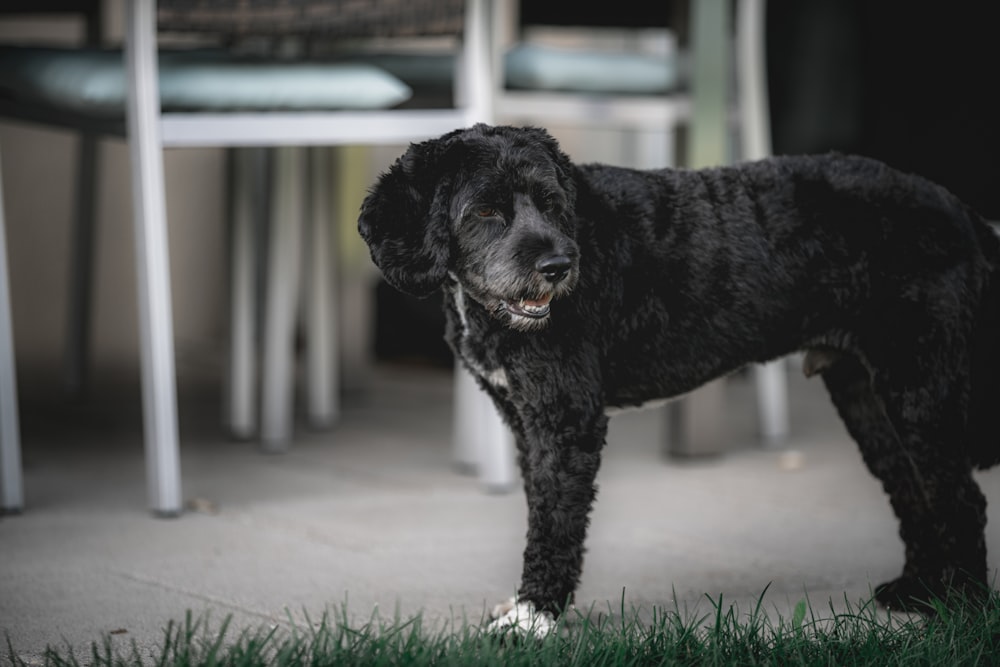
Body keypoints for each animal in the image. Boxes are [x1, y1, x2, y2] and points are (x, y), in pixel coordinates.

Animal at [360, 125, 1000, 632]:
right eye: (486, 211)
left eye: (551, 202)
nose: (557, 266)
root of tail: (956, 205)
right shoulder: (525, 418)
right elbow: (542, 510)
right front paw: (530, 609)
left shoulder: (566, 421)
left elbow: (555, 521)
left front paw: (533, 617)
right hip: (867, 393)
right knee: (915, 488)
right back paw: (921, 593)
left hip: (919, 380)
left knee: (960, 496)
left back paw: (963, 608)